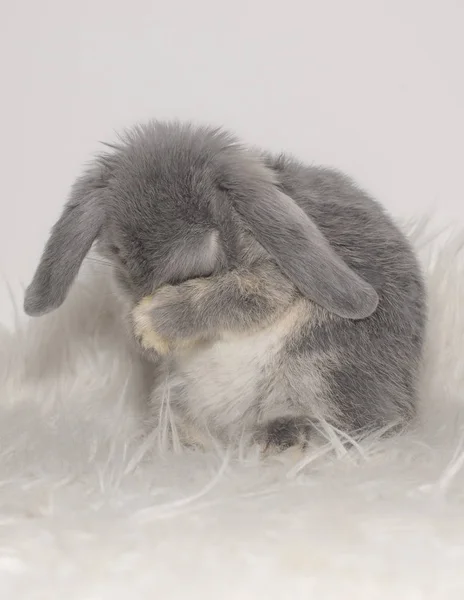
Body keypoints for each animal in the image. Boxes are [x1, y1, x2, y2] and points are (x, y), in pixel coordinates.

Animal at [23, 120, 426, 450]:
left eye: (202, 258)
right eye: (118, 254)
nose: (146, 292)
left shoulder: (269, 280)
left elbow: (229, 298)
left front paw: (152, 324)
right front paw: (141, 332)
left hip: (321, 372)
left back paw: (281, 439)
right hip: (179, 395)